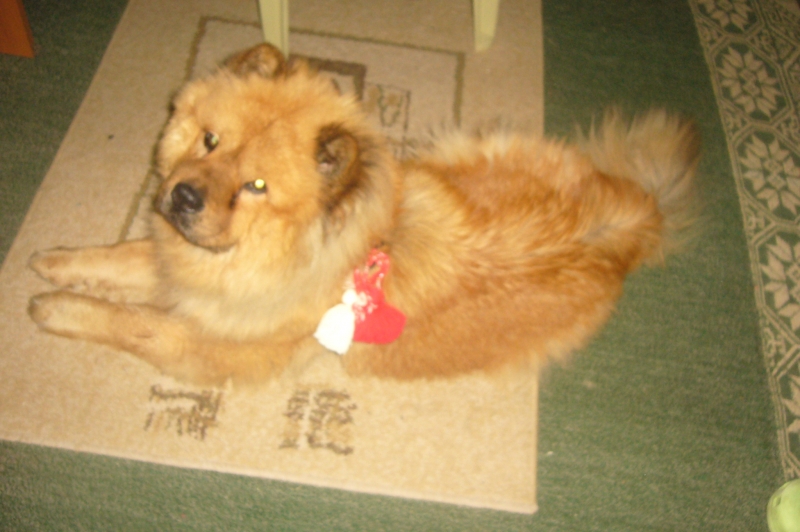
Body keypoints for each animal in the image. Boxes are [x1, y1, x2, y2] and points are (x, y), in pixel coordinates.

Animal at [28, 44, 699, 385]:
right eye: (209, 140)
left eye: (256, 186)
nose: (185, 196)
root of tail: (625, 228)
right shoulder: (187, 268)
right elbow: (122, 255)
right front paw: (53, 258)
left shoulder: (212, 343)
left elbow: (132, 323)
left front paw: (55, 307)